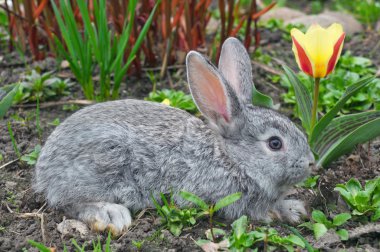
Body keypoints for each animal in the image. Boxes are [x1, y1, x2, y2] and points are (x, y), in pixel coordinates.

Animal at [35, 38, 314, 236]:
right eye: (275, 144)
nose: (311, 162)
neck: (232, 159)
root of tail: (44, 169)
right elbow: (256, 210)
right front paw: (286, 210)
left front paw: (295, 208)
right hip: (102, 164)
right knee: (68, 202)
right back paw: (111, 215)